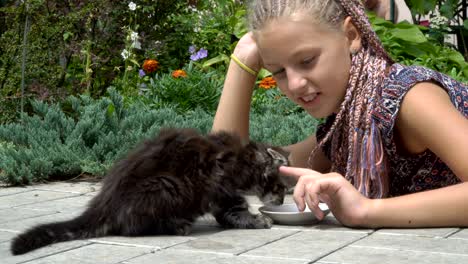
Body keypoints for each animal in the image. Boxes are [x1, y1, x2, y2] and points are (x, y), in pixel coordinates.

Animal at [11, 129, 288, 255]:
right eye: (281, 185)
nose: (283, 198)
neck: (243, 161)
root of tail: (102, 205)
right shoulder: (223, 190)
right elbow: (235, 211)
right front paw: (258, 220)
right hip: (166, 184)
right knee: (131, 227)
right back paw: (177, 225)